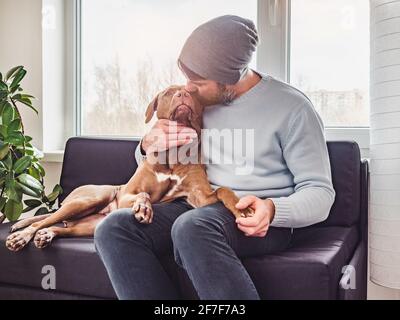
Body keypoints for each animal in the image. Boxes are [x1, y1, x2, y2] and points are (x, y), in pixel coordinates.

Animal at [4, 86, 252, 251]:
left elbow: (223, 191)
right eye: (168, 92)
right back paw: (22, 236)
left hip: (89, 226)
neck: (173, 154)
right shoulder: (126, 195)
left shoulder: (200, 197)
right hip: (89, 199)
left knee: (60, 228)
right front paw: (143, 208)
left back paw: (46, 235)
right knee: (44, 219)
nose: (183, 95)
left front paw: (243, 209)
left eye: (192, 92)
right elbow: (143, 194)